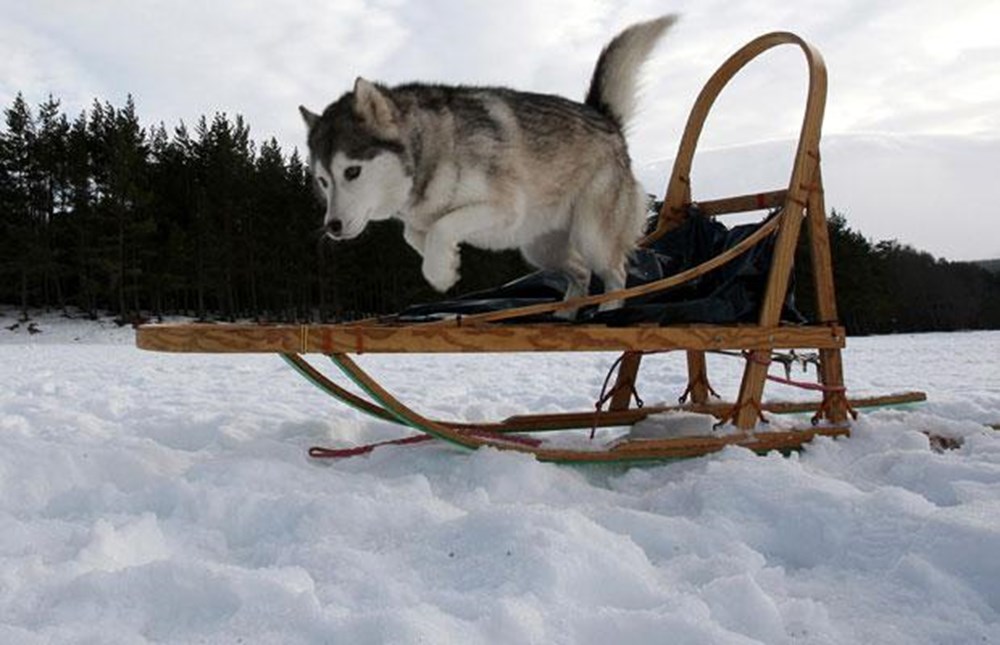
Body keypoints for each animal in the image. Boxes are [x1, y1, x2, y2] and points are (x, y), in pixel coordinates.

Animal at [296, 13, 672, 310]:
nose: (332, 227)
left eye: (352, 171)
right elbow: (413, 234)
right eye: (323, 181)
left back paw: (608, 311)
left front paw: (440, 272)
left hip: (592, 234)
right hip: (538, 248)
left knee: (615, 274)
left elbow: (442, 226)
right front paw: (445, 262)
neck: (431, 151)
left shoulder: (505, 207)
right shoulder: (421, 218)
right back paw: (565, 313)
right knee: (579, 272)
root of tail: (604, 117)